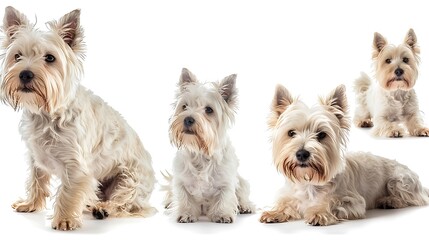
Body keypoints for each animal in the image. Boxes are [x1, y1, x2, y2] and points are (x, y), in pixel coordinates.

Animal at [0, 6, 156, 231]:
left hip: (129, 178)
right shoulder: (35, 157)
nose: (25, 74)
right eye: (17, 56)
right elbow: (36, 180)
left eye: (50, 58)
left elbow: (68, 191)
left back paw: (103, 208)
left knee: (124, 202)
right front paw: (30, 204)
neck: (47, 112)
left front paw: (64, 219)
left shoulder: (76, 166)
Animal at [162, 67, 252, 223]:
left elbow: (224, 197)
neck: (201, 152)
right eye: (184, 106)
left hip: (241, 182)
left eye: (209, 110)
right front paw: (186, 213)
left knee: (242, 194)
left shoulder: (226, 181)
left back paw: (245, 206)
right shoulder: (180, 181)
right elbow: (184, 198)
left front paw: (222, 214)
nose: (188, 119)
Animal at [260, 84, 426, 225]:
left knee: (413, 198)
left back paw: (390, 200)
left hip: (399, 180)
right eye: (291, 133)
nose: (302, 154)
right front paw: (274, 213)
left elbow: (331, 201)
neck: (310, 182)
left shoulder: (353, 202)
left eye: (321, 134)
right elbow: (285, 203)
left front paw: (318, 213)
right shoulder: (291, 195)